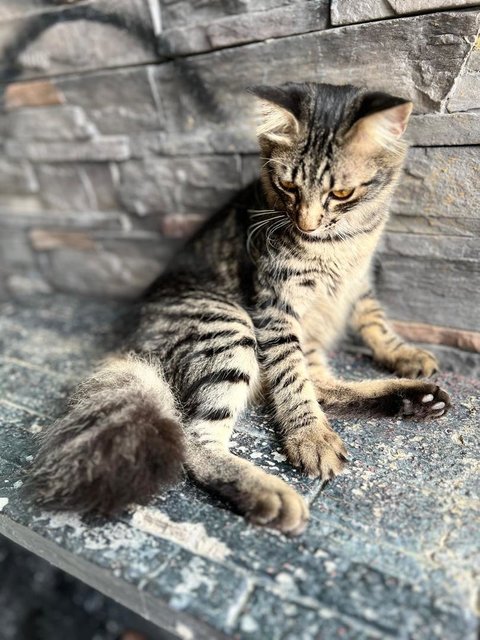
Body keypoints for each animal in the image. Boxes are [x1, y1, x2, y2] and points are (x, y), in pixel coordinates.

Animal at [30, 84, 450, 536]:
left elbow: (375, 324)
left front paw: (404, 353)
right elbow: (291, 382)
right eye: (288, 186)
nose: (307, 224)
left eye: (341, 193)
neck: (341, 242)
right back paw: (272, 492)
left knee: (319, 385)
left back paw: (416, 397)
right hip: (229, 327)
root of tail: (132, 340)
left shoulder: (358, 286)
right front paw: (310, 438)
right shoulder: (275, 307)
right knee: (199, 439)